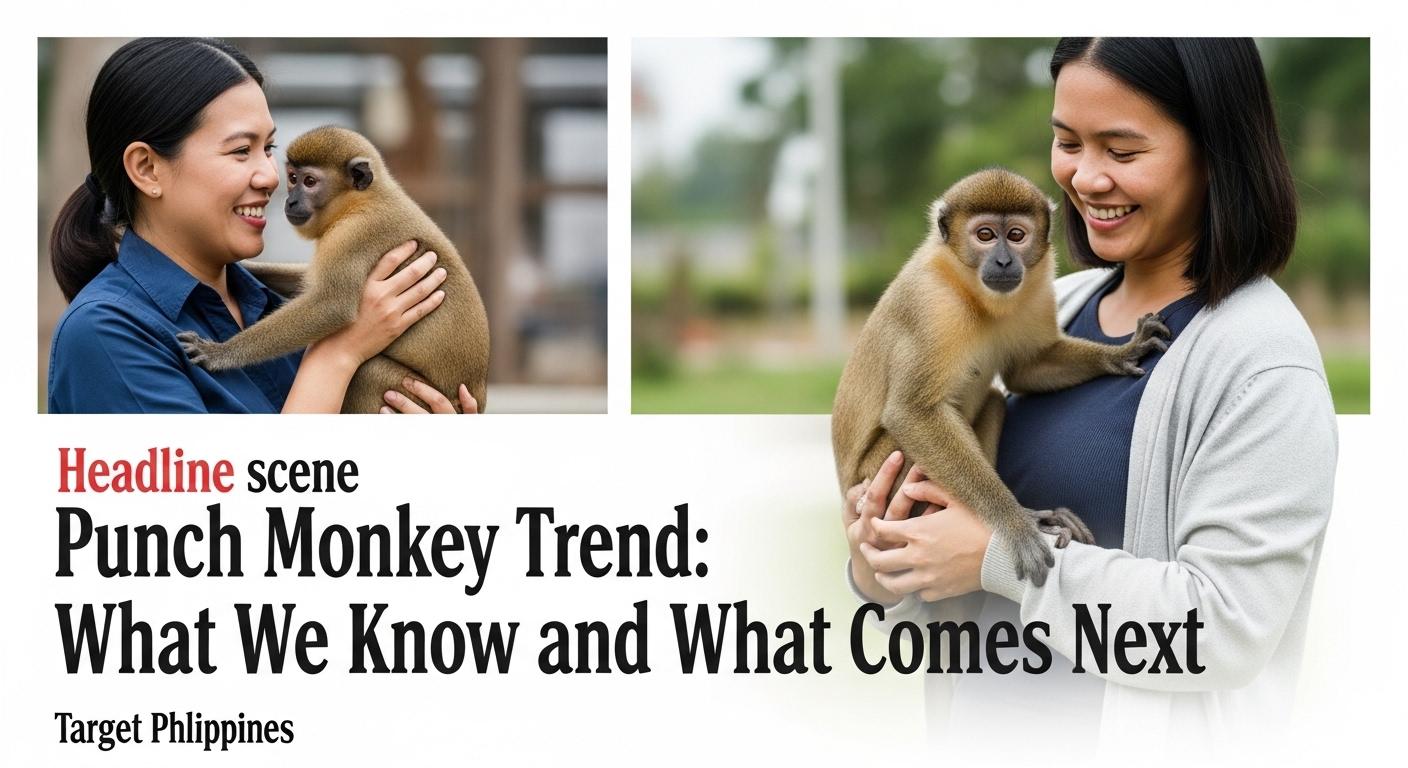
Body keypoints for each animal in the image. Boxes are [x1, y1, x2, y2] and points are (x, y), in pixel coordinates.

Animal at [177, 126, 489, 413]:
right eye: (293, 179)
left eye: (309, 181)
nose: (291, 201)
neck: (363, 200)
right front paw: (246, 268)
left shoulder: (352, 235)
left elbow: (331, 306)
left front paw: (218, 353)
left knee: (367, 371)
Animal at [832, 168, 1170, 587]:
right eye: (986, 235)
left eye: (1017, 235)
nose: (1005, 261)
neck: (972, 294)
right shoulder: (930, 303)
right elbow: (911, 413)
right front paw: (1017, 521)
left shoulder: (1037, 285)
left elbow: (1027, 369)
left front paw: (1121, 354)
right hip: (874, 474)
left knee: (993, 399)